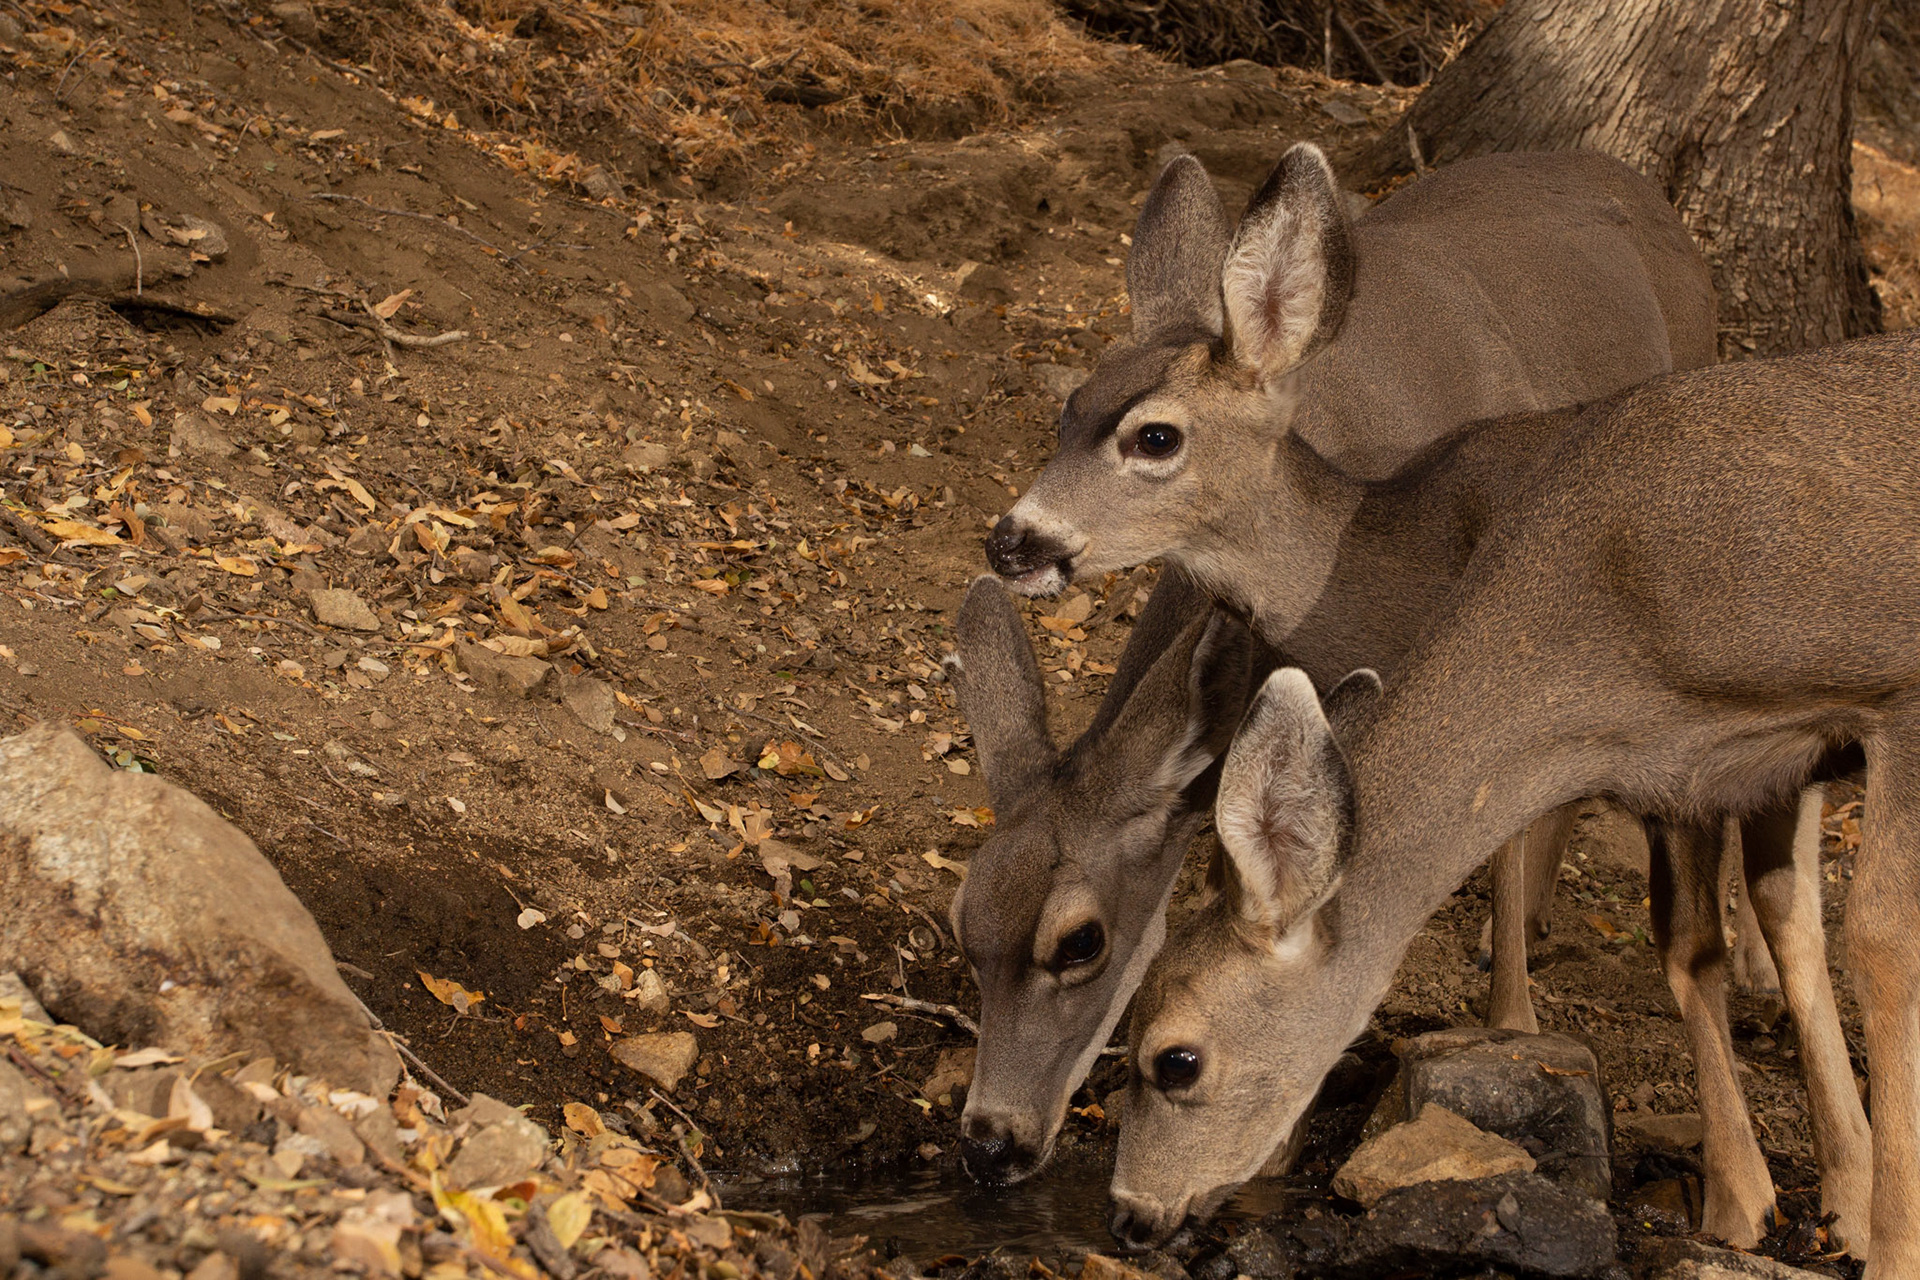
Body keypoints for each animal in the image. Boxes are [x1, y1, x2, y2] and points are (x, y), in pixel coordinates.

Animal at [1106, 328, 1920, 1266]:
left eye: (1174, 1059)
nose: (1129, 1215)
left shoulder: (1895, 694)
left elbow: (1884, 941)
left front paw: (1887, 1248)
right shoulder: (1725, 766)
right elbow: (1706, 941)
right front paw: (1771, 1204)